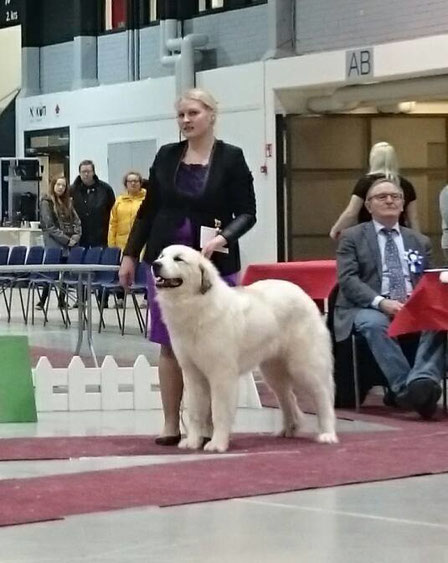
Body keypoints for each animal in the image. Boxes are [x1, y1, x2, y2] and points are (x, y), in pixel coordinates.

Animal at [152, 246, 338, 454]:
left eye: (178, 259)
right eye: (161, 256)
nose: (155, 264)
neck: (196, 304)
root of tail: (303, 295)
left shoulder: (222, 375)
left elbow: (219, 411)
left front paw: (217, 444)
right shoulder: (193, 375)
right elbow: (195, 412)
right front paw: (192, 442)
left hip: (305, 365)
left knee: (323, 396)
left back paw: (327, 434)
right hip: (273, 371)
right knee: (287, 397)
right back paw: (287, 429)